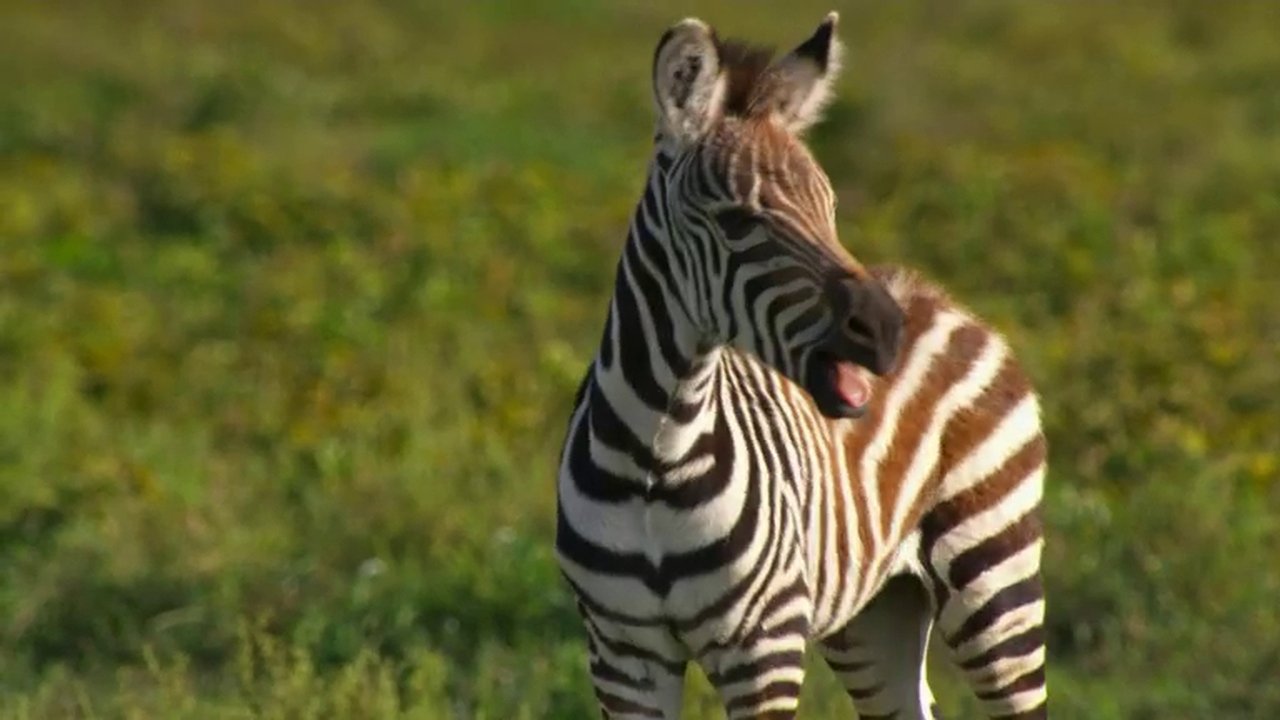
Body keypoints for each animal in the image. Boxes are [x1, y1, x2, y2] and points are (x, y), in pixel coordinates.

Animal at [556, 13, 1047, 720]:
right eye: (737, 220)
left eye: (830, 209)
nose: (887, 330)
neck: (657, 453)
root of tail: (939, 297)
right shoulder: (623, 654)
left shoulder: (763, 647)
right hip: (875, 615)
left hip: (994, 575)